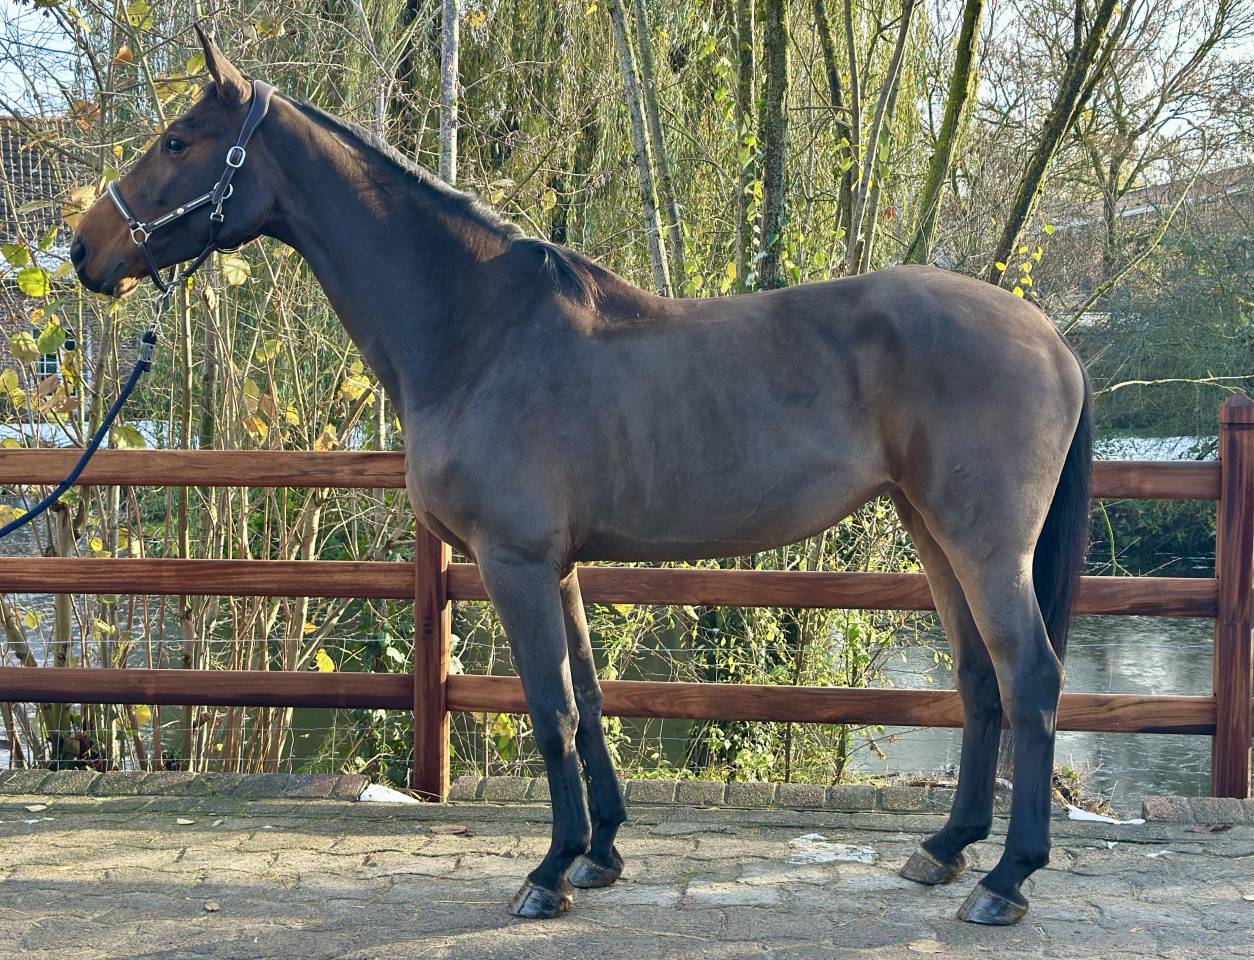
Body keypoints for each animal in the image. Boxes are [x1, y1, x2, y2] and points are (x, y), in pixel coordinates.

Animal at [71, 28, 1091, 926]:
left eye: (177, 141)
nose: (84, 250)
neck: (476, 331)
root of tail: (1051, 338)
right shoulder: (556, 566)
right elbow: (592, 700)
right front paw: (601, 853)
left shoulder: (513, 561)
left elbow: (549, 707)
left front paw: (549, 871)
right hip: (931, 532)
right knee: (979, 677)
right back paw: (945, 848)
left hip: (983, 544)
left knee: (1030, 676)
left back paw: (1005, 880)